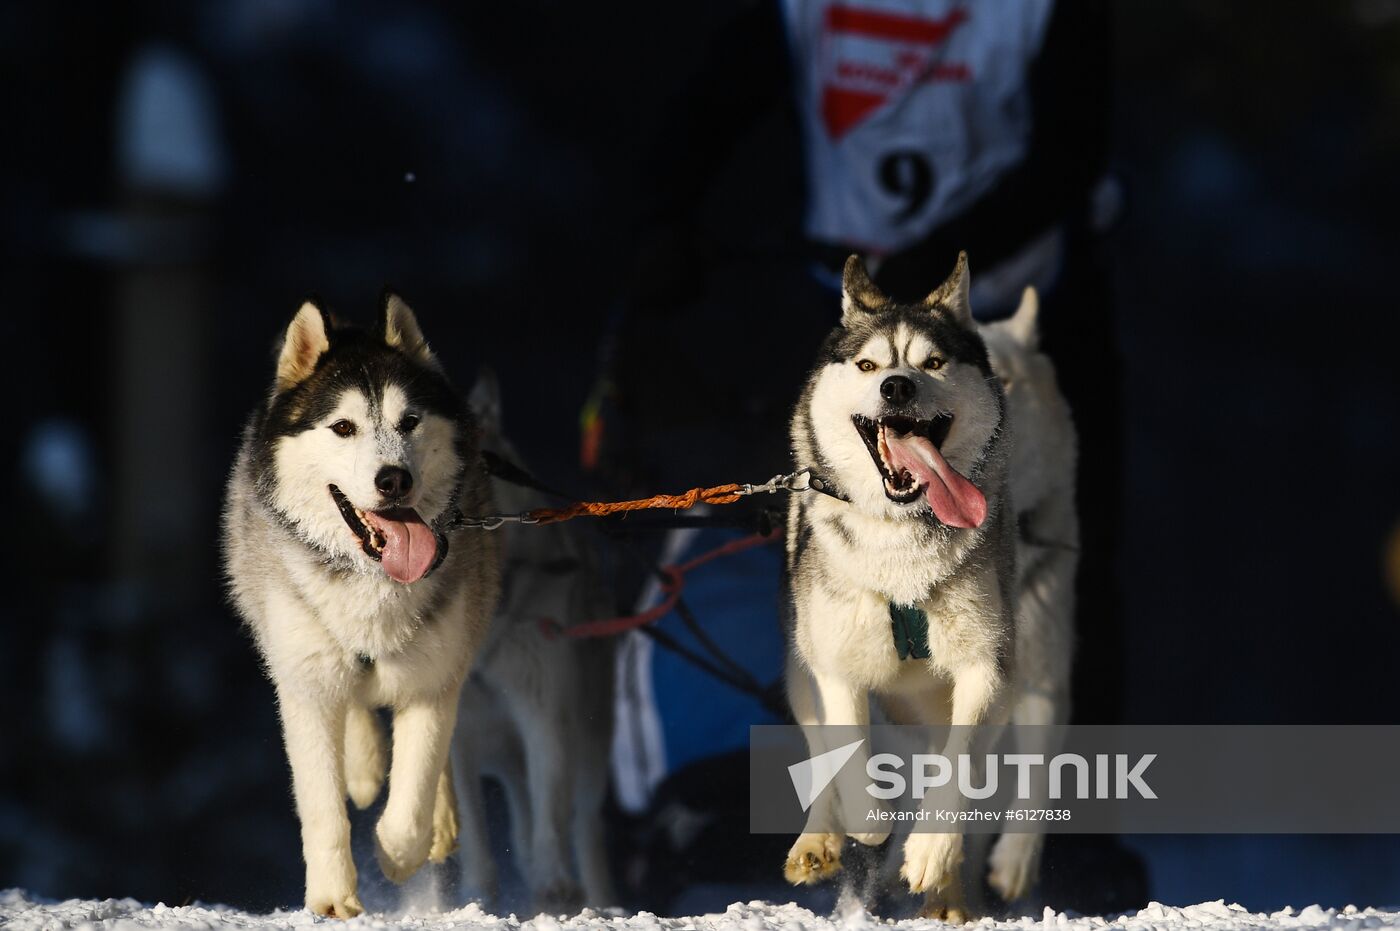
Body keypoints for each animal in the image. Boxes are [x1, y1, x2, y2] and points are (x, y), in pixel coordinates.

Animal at [218, 295, 498, 912]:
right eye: (343, 428)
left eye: (409, 421)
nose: (394, 479)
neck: (373, 579)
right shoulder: (304, 684)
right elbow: (323, 807)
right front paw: (331, 898)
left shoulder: (432, 678)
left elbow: (414, 791)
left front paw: (398, 855)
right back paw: (366, 769)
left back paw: (437, 819)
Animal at [450, 375, 616, 912]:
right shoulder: (456, 733)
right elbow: (474, 831)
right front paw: (477, 894)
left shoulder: (545, 712)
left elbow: (552, 814)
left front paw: (553, 883)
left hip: (590, 740)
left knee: (583, 824)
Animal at [784, 250, 1013, 918]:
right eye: (868, 365)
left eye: (932, 363)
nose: (897, 386)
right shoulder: (835, 668)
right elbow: (852, 769)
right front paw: (864, 822)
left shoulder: (985, 667)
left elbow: (956, 769)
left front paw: (931, 852)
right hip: (799, 671)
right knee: (822, 759)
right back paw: (820, 839)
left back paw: (947, 893)